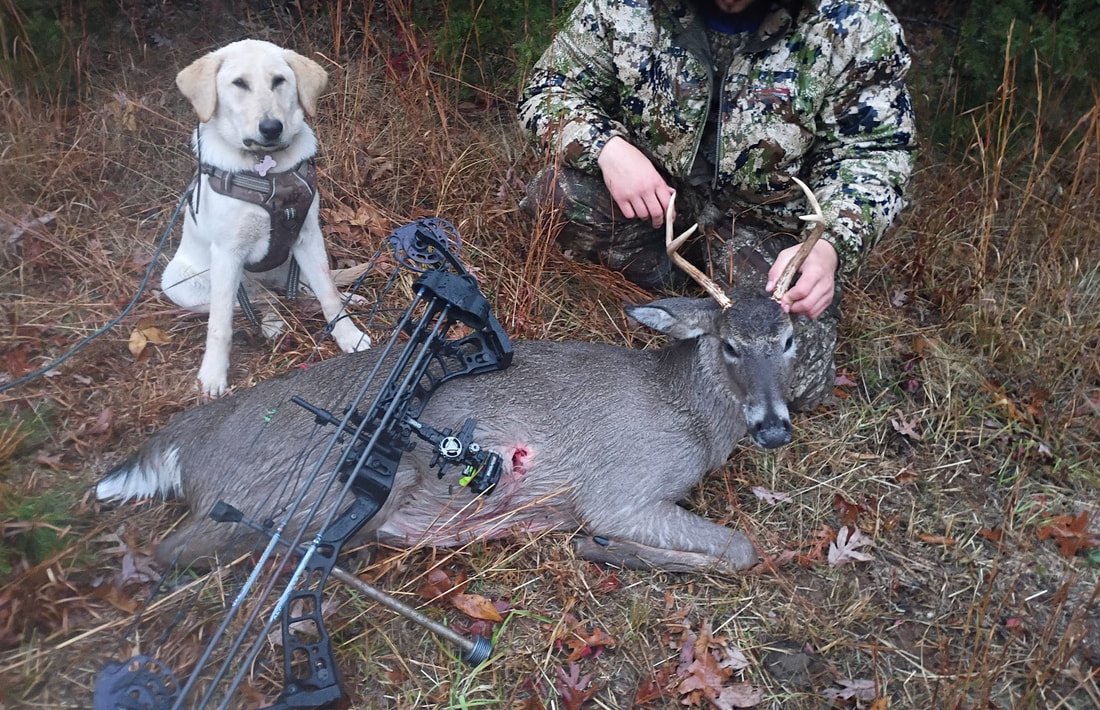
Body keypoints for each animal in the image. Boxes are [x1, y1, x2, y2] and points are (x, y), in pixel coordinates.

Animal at [95, 179, 827, 575]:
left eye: (789, 339)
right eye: (729, 345)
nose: (773, 428)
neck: (687, 415)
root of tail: (184, 442)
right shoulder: (619, 490)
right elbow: (741, 548)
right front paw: (602, 549)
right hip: (305, 486)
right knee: (179, 549)